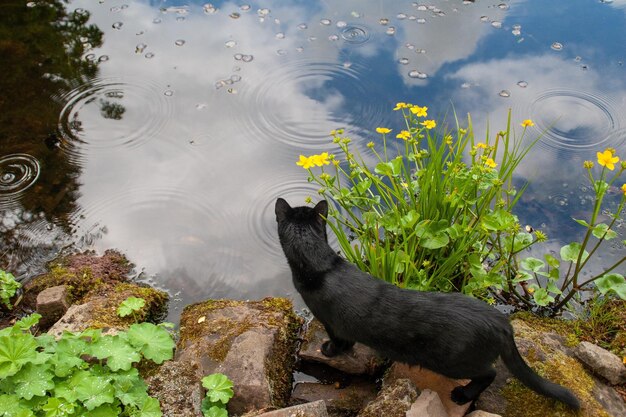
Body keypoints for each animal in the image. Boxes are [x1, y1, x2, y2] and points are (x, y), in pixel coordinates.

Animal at [274, 198, 580, 410]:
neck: (323, 265)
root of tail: (502, 322)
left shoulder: (332, 321)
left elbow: (340, 342)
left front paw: (327, 350)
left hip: (455, 360)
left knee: (490, 373)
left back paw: (462, 394)